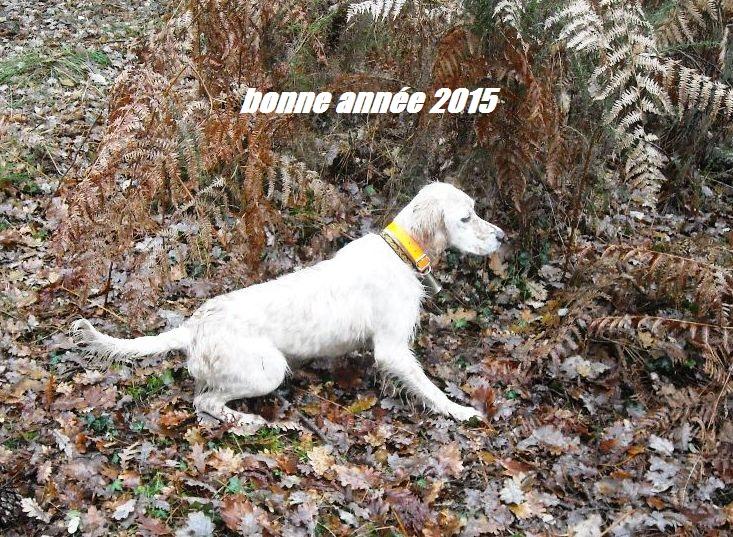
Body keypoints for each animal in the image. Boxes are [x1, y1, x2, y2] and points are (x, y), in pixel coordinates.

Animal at [72, 182, 505, 428]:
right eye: (466, 217)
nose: (502, 236)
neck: (399, 252)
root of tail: (193, 327)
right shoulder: (392, 349)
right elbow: (429, 388)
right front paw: (459, 411)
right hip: (268, 369)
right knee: (205, 401)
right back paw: (247, 419)